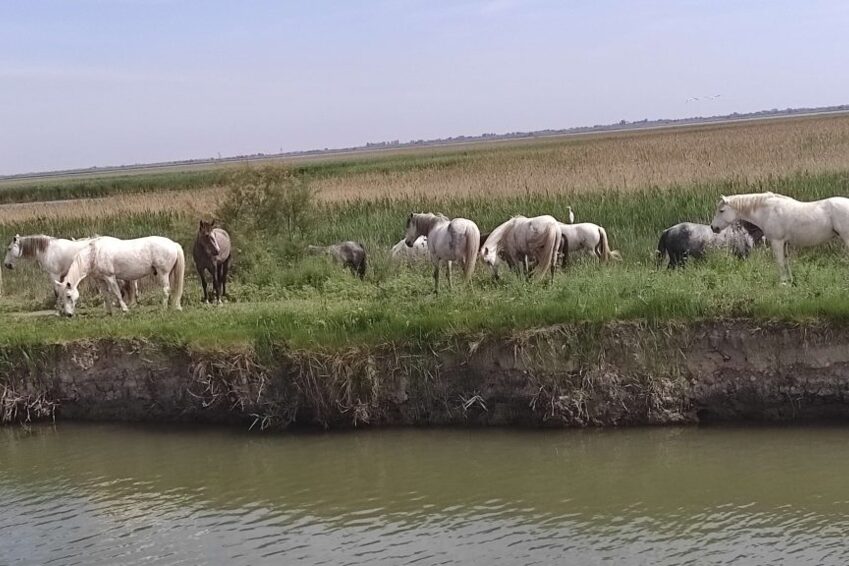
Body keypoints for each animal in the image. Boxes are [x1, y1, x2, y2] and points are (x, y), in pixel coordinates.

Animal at [4, 234, 138, 306]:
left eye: (9, 248)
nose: (6, 265)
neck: (48, 250)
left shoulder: (54, 275)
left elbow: (56, 291)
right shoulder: (62, 276)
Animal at [56, 236, 185, 316]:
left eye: (68, 295)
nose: (68, 314)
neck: (94, 254)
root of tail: (173, 244)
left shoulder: (110, 277)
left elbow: (117, 293)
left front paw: (125, 309)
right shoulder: (100, 280)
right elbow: (106, 296)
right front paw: (109, 312)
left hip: (163, 273)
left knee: (166, 290)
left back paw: (163, 309)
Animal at [711, 192, 849, 283]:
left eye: (721, 210)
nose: (713, 227)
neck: (769, 211)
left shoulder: (777, 241)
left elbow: (780, 262)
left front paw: (782, 282)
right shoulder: (784, 243)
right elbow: (786, 262)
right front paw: (789, 280)